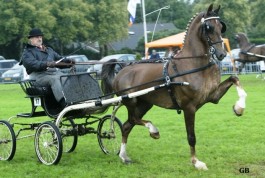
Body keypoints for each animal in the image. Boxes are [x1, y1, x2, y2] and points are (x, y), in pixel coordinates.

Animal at [100, 4, 245, 170]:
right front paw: (196, 162)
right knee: (133, 119)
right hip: (131, 101)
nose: (221, 54)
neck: (193, 64)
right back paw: (153, 131)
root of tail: (123, 69)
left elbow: (235, 78)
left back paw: (124, 156)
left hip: (144, 104)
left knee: (126, 126)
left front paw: (239, 107)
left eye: (221, 27)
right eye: (208, 27)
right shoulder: (189, 107)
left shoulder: (213, 96)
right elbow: (191, 136)